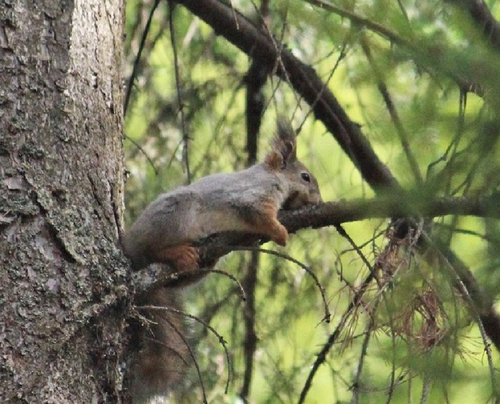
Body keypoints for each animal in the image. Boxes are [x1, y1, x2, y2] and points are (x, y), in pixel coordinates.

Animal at [123, 118, 322, 402]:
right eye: (305, 177)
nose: (319, 200)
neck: (272, 176)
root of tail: (130, 245)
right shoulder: (252, 197)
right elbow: (260, 216)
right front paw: (281, 233)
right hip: (177, 216)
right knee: (152, 250)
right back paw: (175, 253)